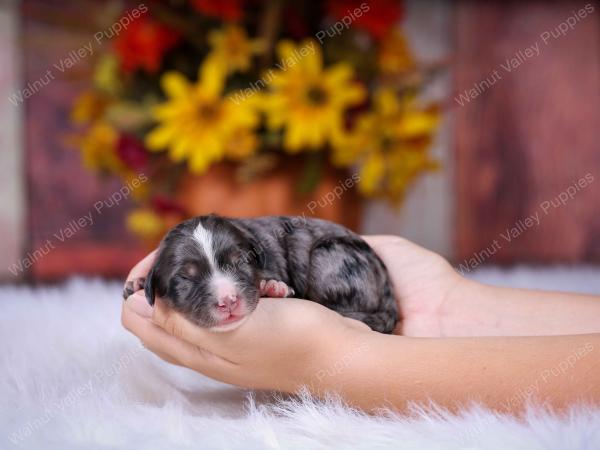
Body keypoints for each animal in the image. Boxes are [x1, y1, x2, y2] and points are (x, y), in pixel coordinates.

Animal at [125, 214, 398, 334]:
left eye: (240, 262)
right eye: (186, 277)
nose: (228, 301)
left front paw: (273, 287)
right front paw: (138, 283)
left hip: (331, 256)